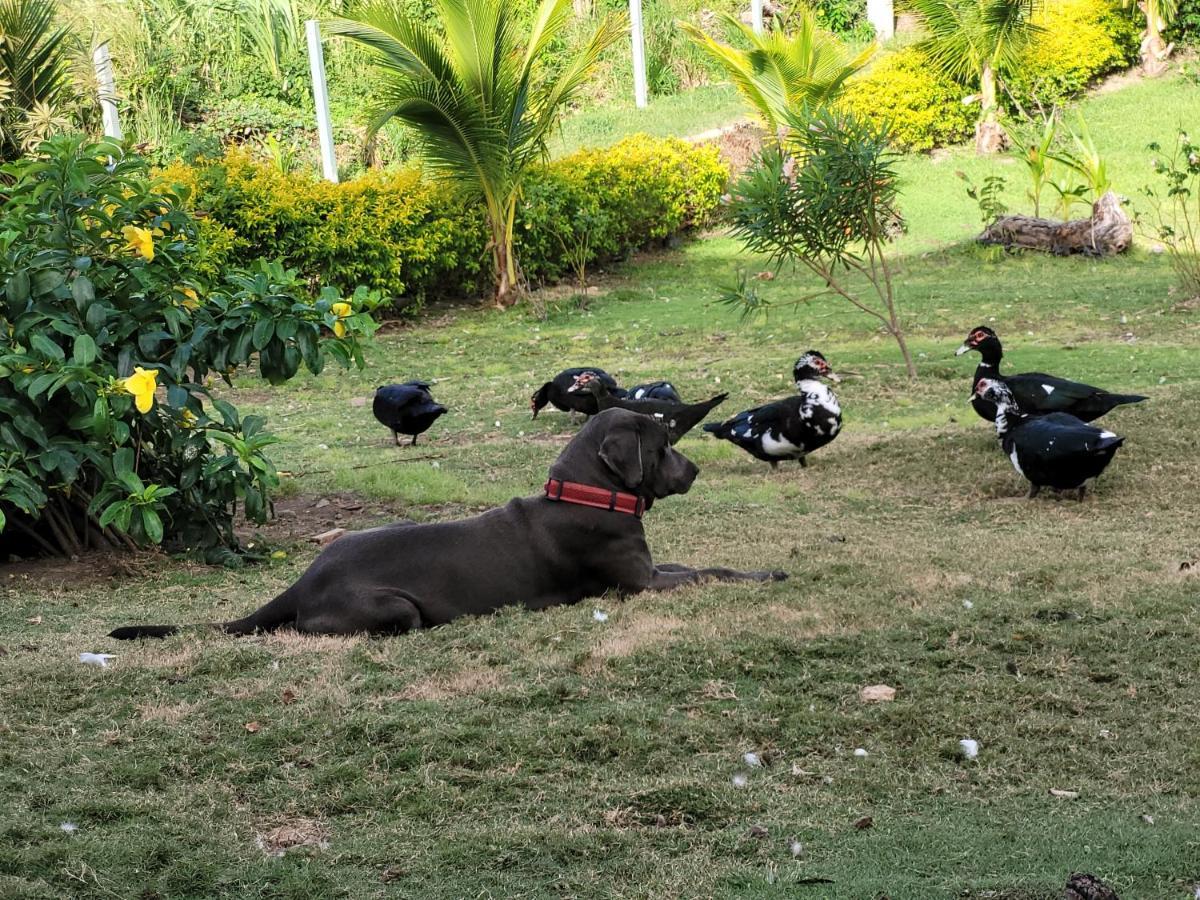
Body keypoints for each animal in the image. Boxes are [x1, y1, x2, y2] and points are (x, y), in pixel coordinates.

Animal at [112, 408, 787, 643]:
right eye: (665, 444)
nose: (696, 469)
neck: (587, 493)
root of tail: (302, 581)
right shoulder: (639, 584)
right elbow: (709, 572)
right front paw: (766, 574)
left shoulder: (649, 569)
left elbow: (702, 564)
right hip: (395, 609)